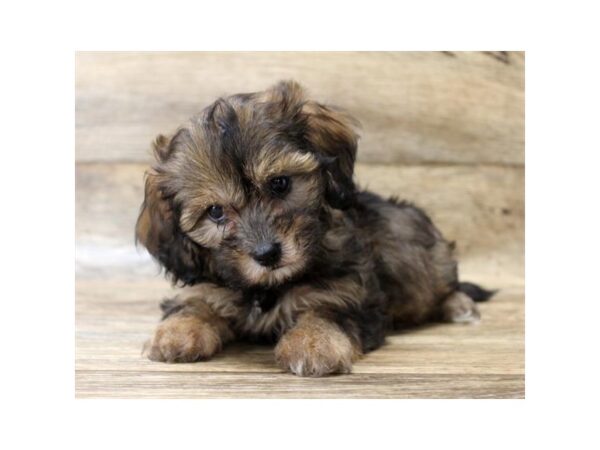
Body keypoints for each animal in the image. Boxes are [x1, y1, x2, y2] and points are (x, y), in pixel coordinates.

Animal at [136, 81, 492, 376]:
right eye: (215, 212)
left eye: (280, 183)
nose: (267, 254)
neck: (269, 287)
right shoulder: (208, 285)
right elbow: (193, 303)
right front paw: (173, 333)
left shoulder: (349, 290)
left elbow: (327, 310)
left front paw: (313, 343)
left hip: (423, 256)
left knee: (442, 284)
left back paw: (459, 304)